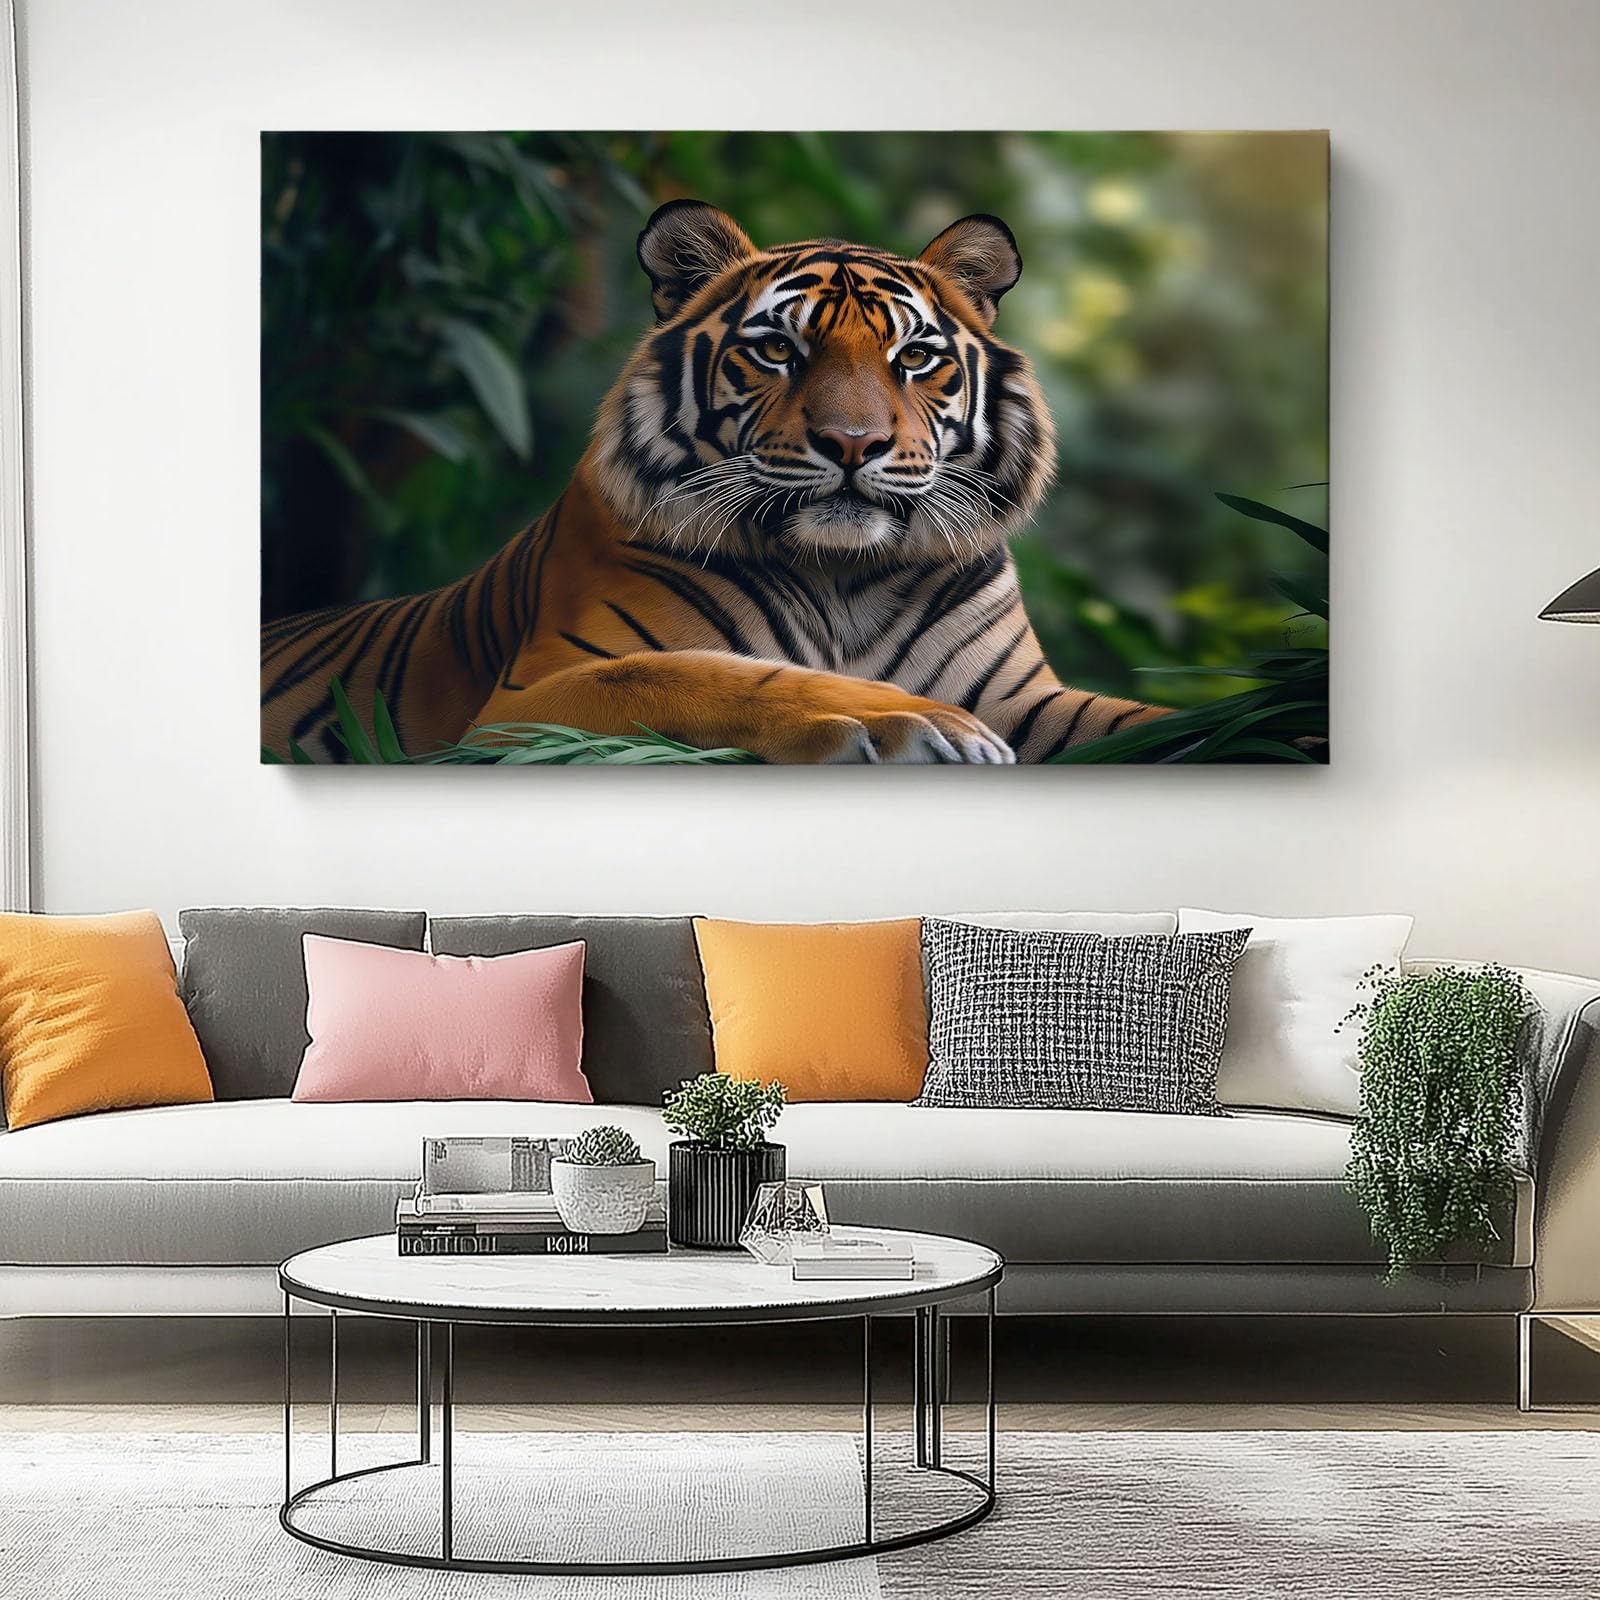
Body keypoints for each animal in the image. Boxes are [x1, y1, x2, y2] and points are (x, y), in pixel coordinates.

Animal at [261, 200, 1167, 763]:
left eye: (913, 357)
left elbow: (1150, 725)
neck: (844, 575)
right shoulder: (520, 705)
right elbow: (700, 674)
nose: (854, 443)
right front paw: (910, 720)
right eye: (777, 350)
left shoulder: (1025, 698)